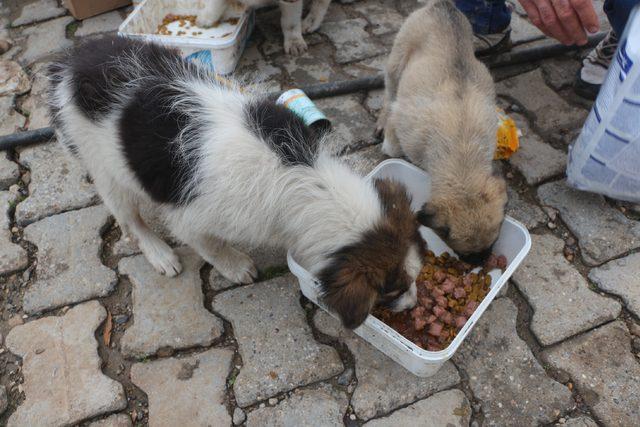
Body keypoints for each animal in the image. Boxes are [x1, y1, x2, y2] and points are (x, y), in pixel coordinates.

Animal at [48, 36, 424, 330]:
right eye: (391, 290)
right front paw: (235, 266)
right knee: (129, 218)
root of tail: (68, 64)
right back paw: (159, 253)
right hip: (104, 166)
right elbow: (209, 244)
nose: (414, 306)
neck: (306, 178)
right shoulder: (192, 218)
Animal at [378, 0, 508, 260]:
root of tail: (443, 5)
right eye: (464, 253)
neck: (462, 148)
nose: (481, 261)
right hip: (396, 63)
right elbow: (393, 143)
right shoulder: (401, 121)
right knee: (389, 94)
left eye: (493, 243)